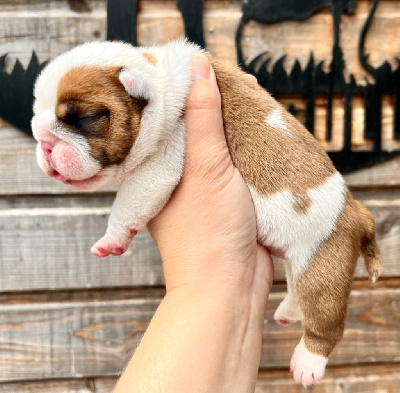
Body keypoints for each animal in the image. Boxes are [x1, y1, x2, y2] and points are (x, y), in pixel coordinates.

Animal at [31, 40, 382, 386]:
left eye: (86, 117)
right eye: (36, 118)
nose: (43, 141)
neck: (157, 77)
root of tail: (357, 212)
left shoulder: (159, 163)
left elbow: (128, 201)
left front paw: (111, 239)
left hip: (324, 267)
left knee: (326, 318)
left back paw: (309, 361)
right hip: (303, 261)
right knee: (298, 288)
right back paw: (287, 312)